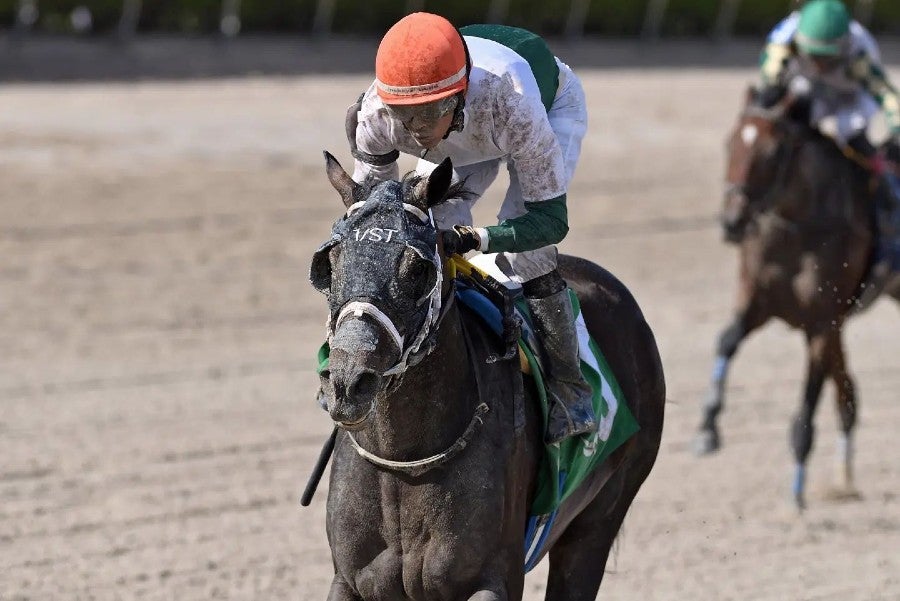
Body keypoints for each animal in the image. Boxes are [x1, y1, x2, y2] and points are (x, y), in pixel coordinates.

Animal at [312, 154, 664, 600]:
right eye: (330, 262)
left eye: (418, 269)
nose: (347, 382)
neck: (405, 464)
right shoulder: (350, 581)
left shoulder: (491, 579)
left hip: (599, 519)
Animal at [692, 89, 896, 508]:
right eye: (730, 143)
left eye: (771, 153)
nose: (731, 223)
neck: (797, 231)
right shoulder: (758, 302)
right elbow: (727, 341)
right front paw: (707, 427)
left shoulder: (821, 324)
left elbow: (808, 404)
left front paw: (797, 491)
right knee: (848, 395)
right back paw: (844, 474)